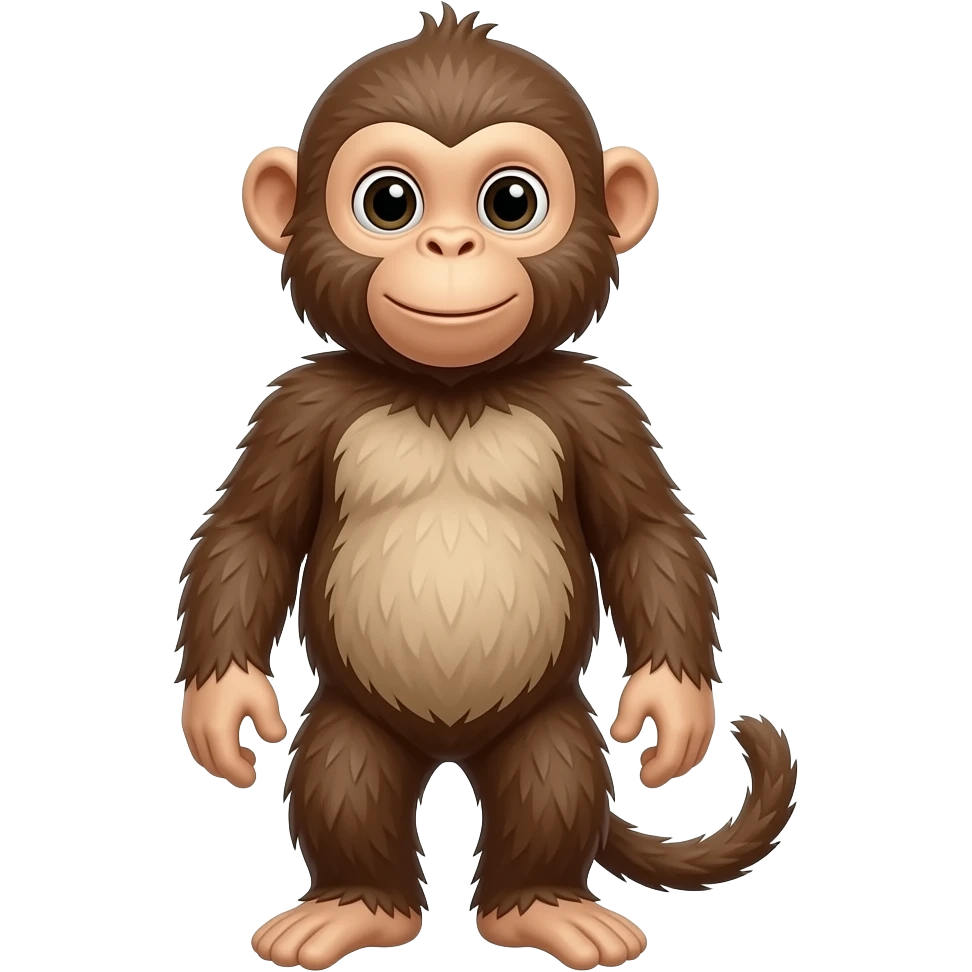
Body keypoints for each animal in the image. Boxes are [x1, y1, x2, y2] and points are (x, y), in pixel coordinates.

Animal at [176, 6, 798, 970]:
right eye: (389, 202)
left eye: (511, 202)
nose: (450, 245)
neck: (450, 392)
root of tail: (449, 749)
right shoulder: (299, 407)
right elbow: (251, 533)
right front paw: (223, 705)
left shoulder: (598, 406)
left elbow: (647, 534)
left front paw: (673, 707)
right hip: (358, 720)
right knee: (344, 773)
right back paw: (356, 906)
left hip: (543, 719)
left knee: (554, 774)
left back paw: (541, 906)